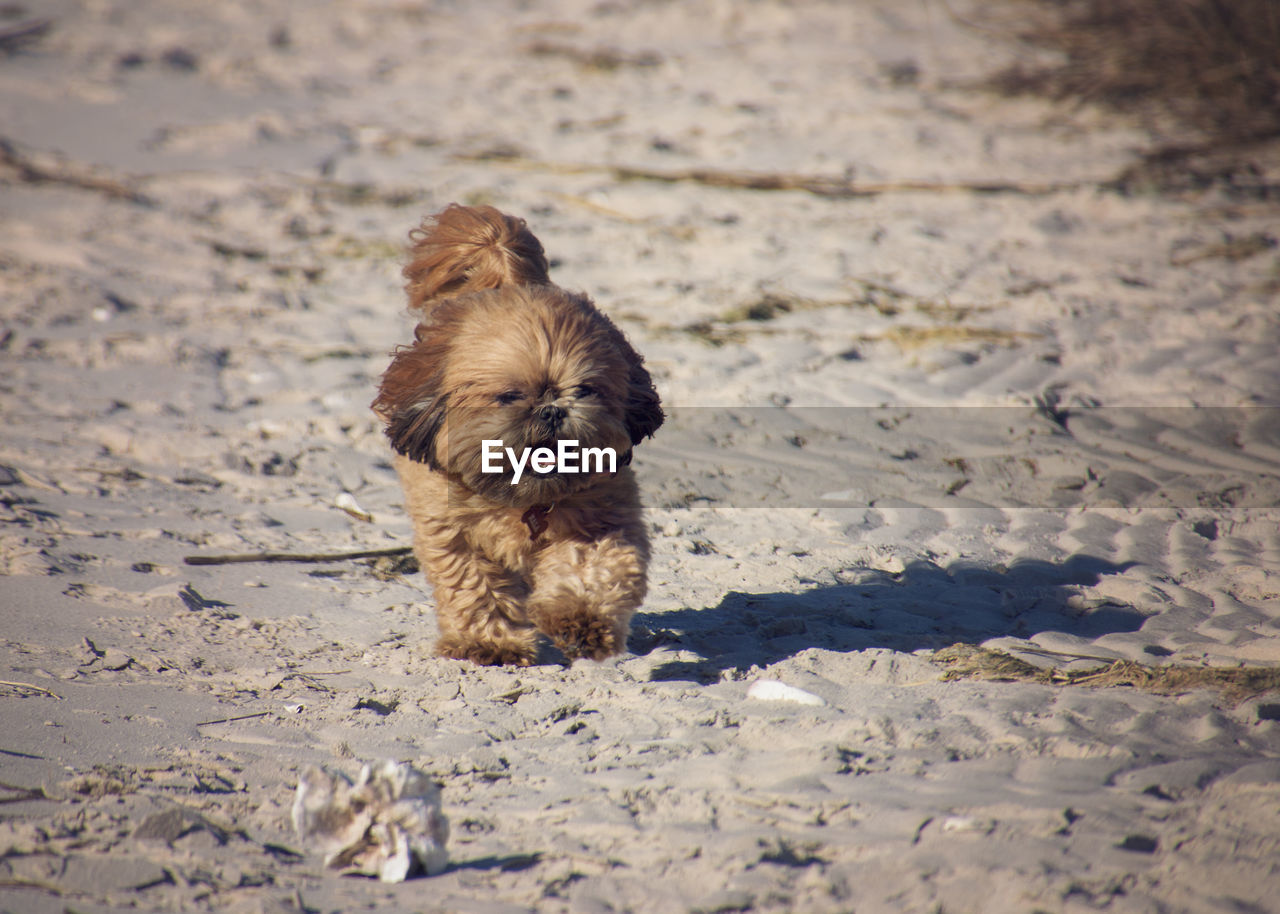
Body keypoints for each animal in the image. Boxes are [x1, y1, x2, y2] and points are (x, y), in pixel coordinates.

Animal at [371, 204, 665, 660]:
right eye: (509, 396)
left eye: (585, 390)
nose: (551, 410)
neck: (524, 499)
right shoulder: (452, 532)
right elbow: (473, 585)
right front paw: (488, 641)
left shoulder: (602, 518)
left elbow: (590, 567)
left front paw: (582, 620)